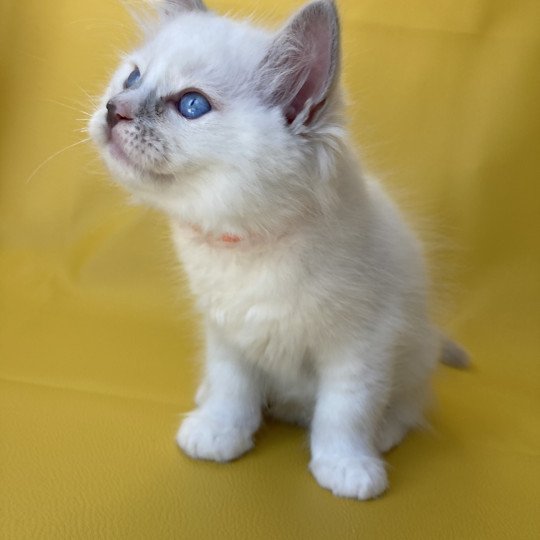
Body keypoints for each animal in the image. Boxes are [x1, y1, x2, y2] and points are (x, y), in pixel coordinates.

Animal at [88, 0, 468, 500]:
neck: (246, 245)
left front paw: (346, 466)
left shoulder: (361, 346)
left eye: (192, 105)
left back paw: (381, 436)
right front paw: (219, 432)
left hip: (416, 348)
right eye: (132, 79)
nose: (114, 109)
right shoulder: (227, 332)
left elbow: (344, 413)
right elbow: (232, 390)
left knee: (407, 403)